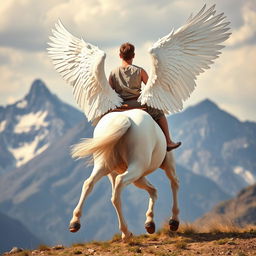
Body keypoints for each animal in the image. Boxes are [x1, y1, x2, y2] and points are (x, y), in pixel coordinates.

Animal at [69, 109, 179, 240]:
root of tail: (124, 118)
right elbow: (174, 184)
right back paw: (127, 232)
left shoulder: (115, 174)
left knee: (90, 183)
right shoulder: (169, 165)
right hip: (138, 167)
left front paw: (150, 221)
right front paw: (174, 221)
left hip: (107, 166)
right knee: (121, 185)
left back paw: (75, 222)